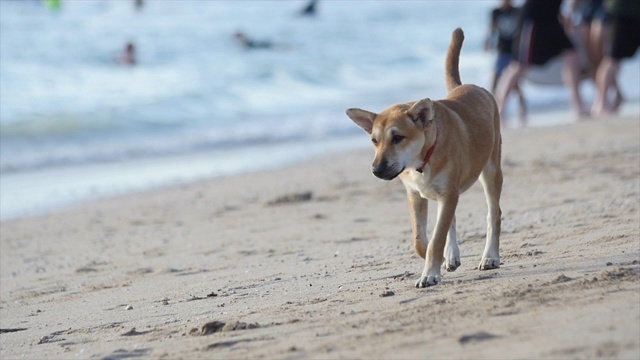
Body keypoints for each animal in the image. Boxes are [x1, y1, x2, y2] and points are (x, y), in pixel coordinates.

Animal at [348, 27, 502, 286]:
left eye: (398, 138)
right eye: (374, 141)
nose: (376, 170)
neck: (422, 161)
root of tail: (472, 86)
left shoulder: (448, 194)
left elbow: (437, 239)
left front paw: (430, 273)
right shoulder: (415, 195)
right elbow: (421, 241)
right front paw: (437, 258)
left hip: (491, 169)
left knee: (493, 214)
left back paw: (490, 256)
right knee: (451, 221)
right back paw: (452, 255)